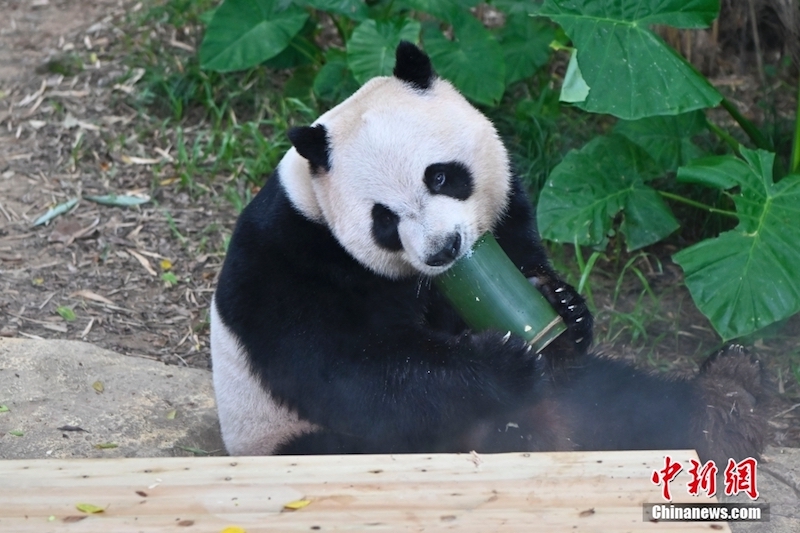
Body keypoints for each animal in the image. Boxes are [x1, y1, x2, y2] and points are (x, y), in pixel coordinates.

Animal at [211, 42, 765, 465]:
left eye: (439, 176)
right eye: (384, 220)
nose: (443, 250)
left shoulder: (501, 220)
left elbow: (523, 267)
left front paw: (564, 307)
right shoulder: (292, 265)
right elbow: (353, 371)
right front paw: (500, 363)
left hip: (585, 398)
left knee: (627, 402)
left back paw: (728, 400)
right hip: (294, 438)